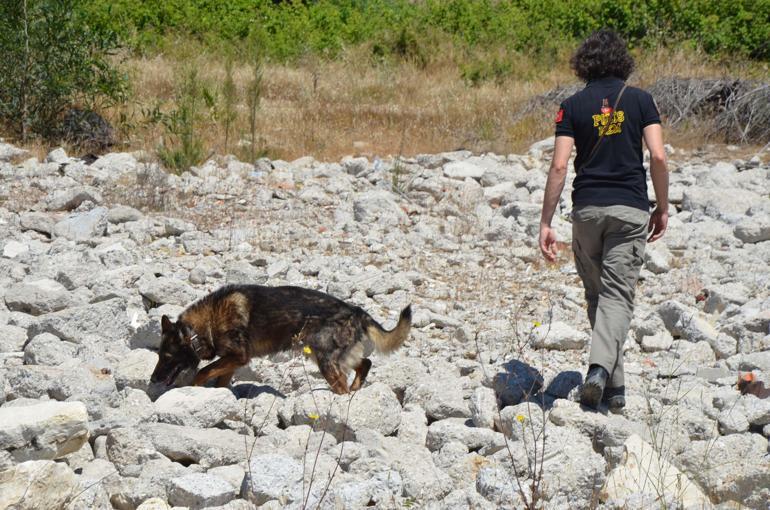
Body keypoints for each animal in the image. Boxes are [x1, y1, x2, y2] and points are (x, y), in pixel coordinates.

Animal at [152, 284, 414, 392]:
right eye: (159, 355)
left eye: (167, 356)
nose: (153, 380)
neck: (202, 328)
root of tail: (356, 310)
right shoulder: (231, 361)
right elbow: (219, 380)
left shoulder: (238, 357)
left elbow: (203, 372)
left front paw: (194, 388)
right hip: (331, 355)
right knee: (365, 363)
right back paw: (356, 388)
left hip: (325, 361)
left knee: (343, 382)